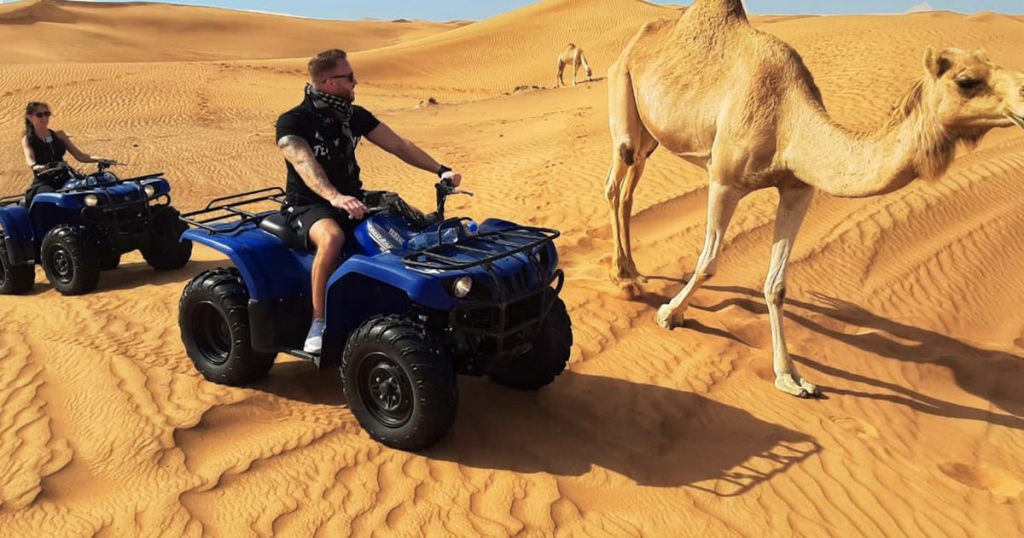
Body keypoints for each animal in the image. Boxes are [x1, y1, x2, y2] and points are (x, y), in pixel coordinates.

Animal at [603, 0, 1024, 397]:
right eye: (967, 81)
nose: (1023, 94)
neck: (788, 122)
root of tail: (641, 37)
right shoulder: (723, 179)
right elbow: (708, 262)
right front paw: (669, 314)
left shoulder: (798, 188)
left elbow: (777, 284)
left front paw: (791, 377)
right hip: (622, 88)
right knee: (616, 179)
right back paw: (623, 277)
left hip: (652, 136)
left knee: (629, 189)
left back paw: (633, 271)